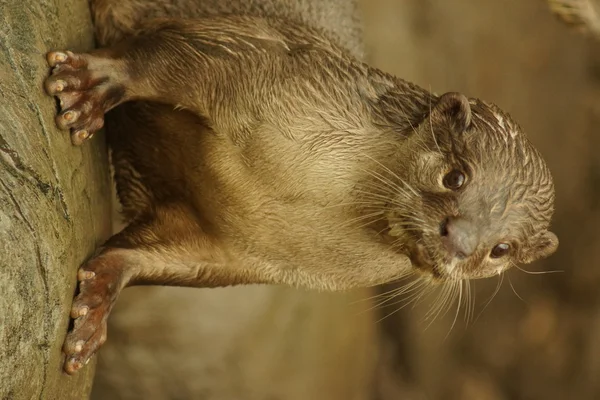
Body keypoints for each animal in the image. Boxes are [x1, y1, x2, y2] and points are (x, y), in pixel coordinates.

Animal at [45, 0, 556, 376]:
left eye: (502, 249)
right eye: (456, 176)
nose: (461, 241)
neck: (312, 201)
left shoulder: (234, 249)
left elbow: (148, 254)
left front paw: (96, 303)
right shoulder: (256, 53)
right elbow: (165, 55)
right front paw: (94, 81)